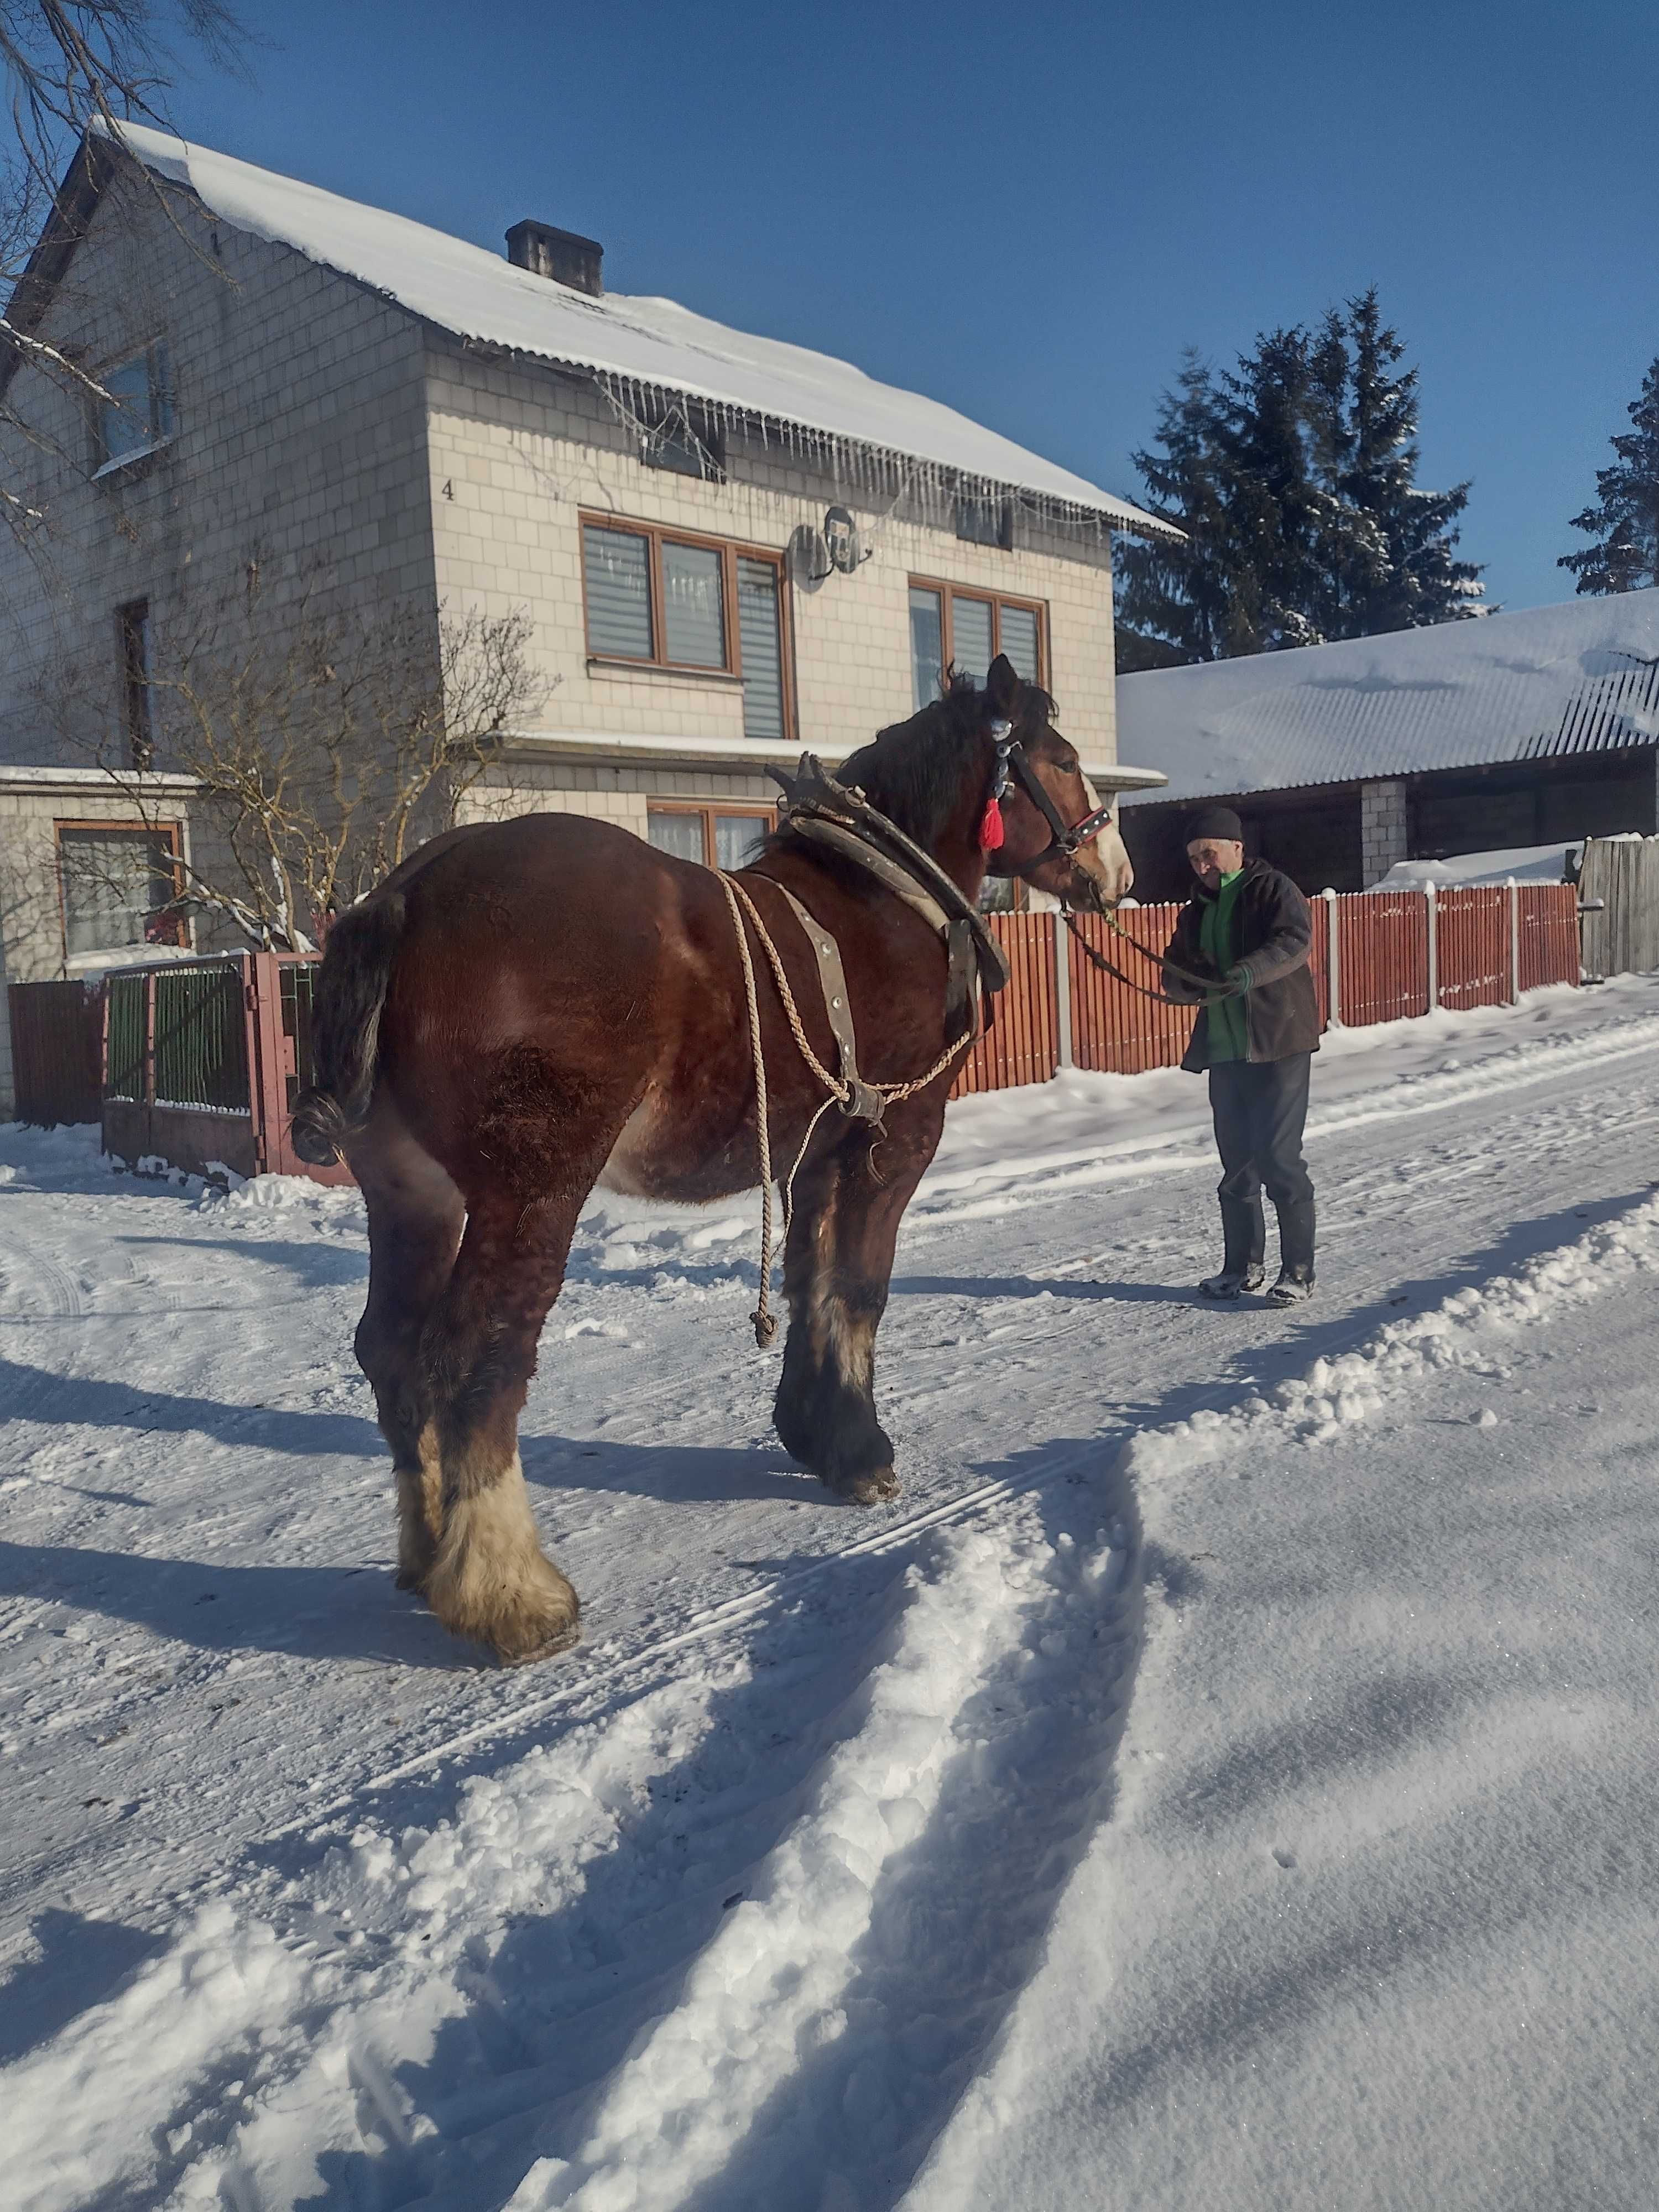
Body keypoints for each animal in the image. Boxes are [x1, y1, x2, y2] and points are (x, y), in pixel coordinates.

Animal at [292, 655, 1141, 1663]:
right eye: (1065, 760)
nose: (1118, 871)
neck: (883, 899)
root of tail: (404, 896)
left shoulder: (817, 1148)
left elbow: (815, 1279)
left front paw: (820, 1433)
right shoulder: (896, 1135)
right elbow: (862, 1286)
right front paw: (862, 1452)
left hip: (412, 1196)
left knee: (391, 1350)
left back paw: (431, 1558)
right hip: (531, 1194)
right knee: (474, 1359)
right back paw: (510, 1592)